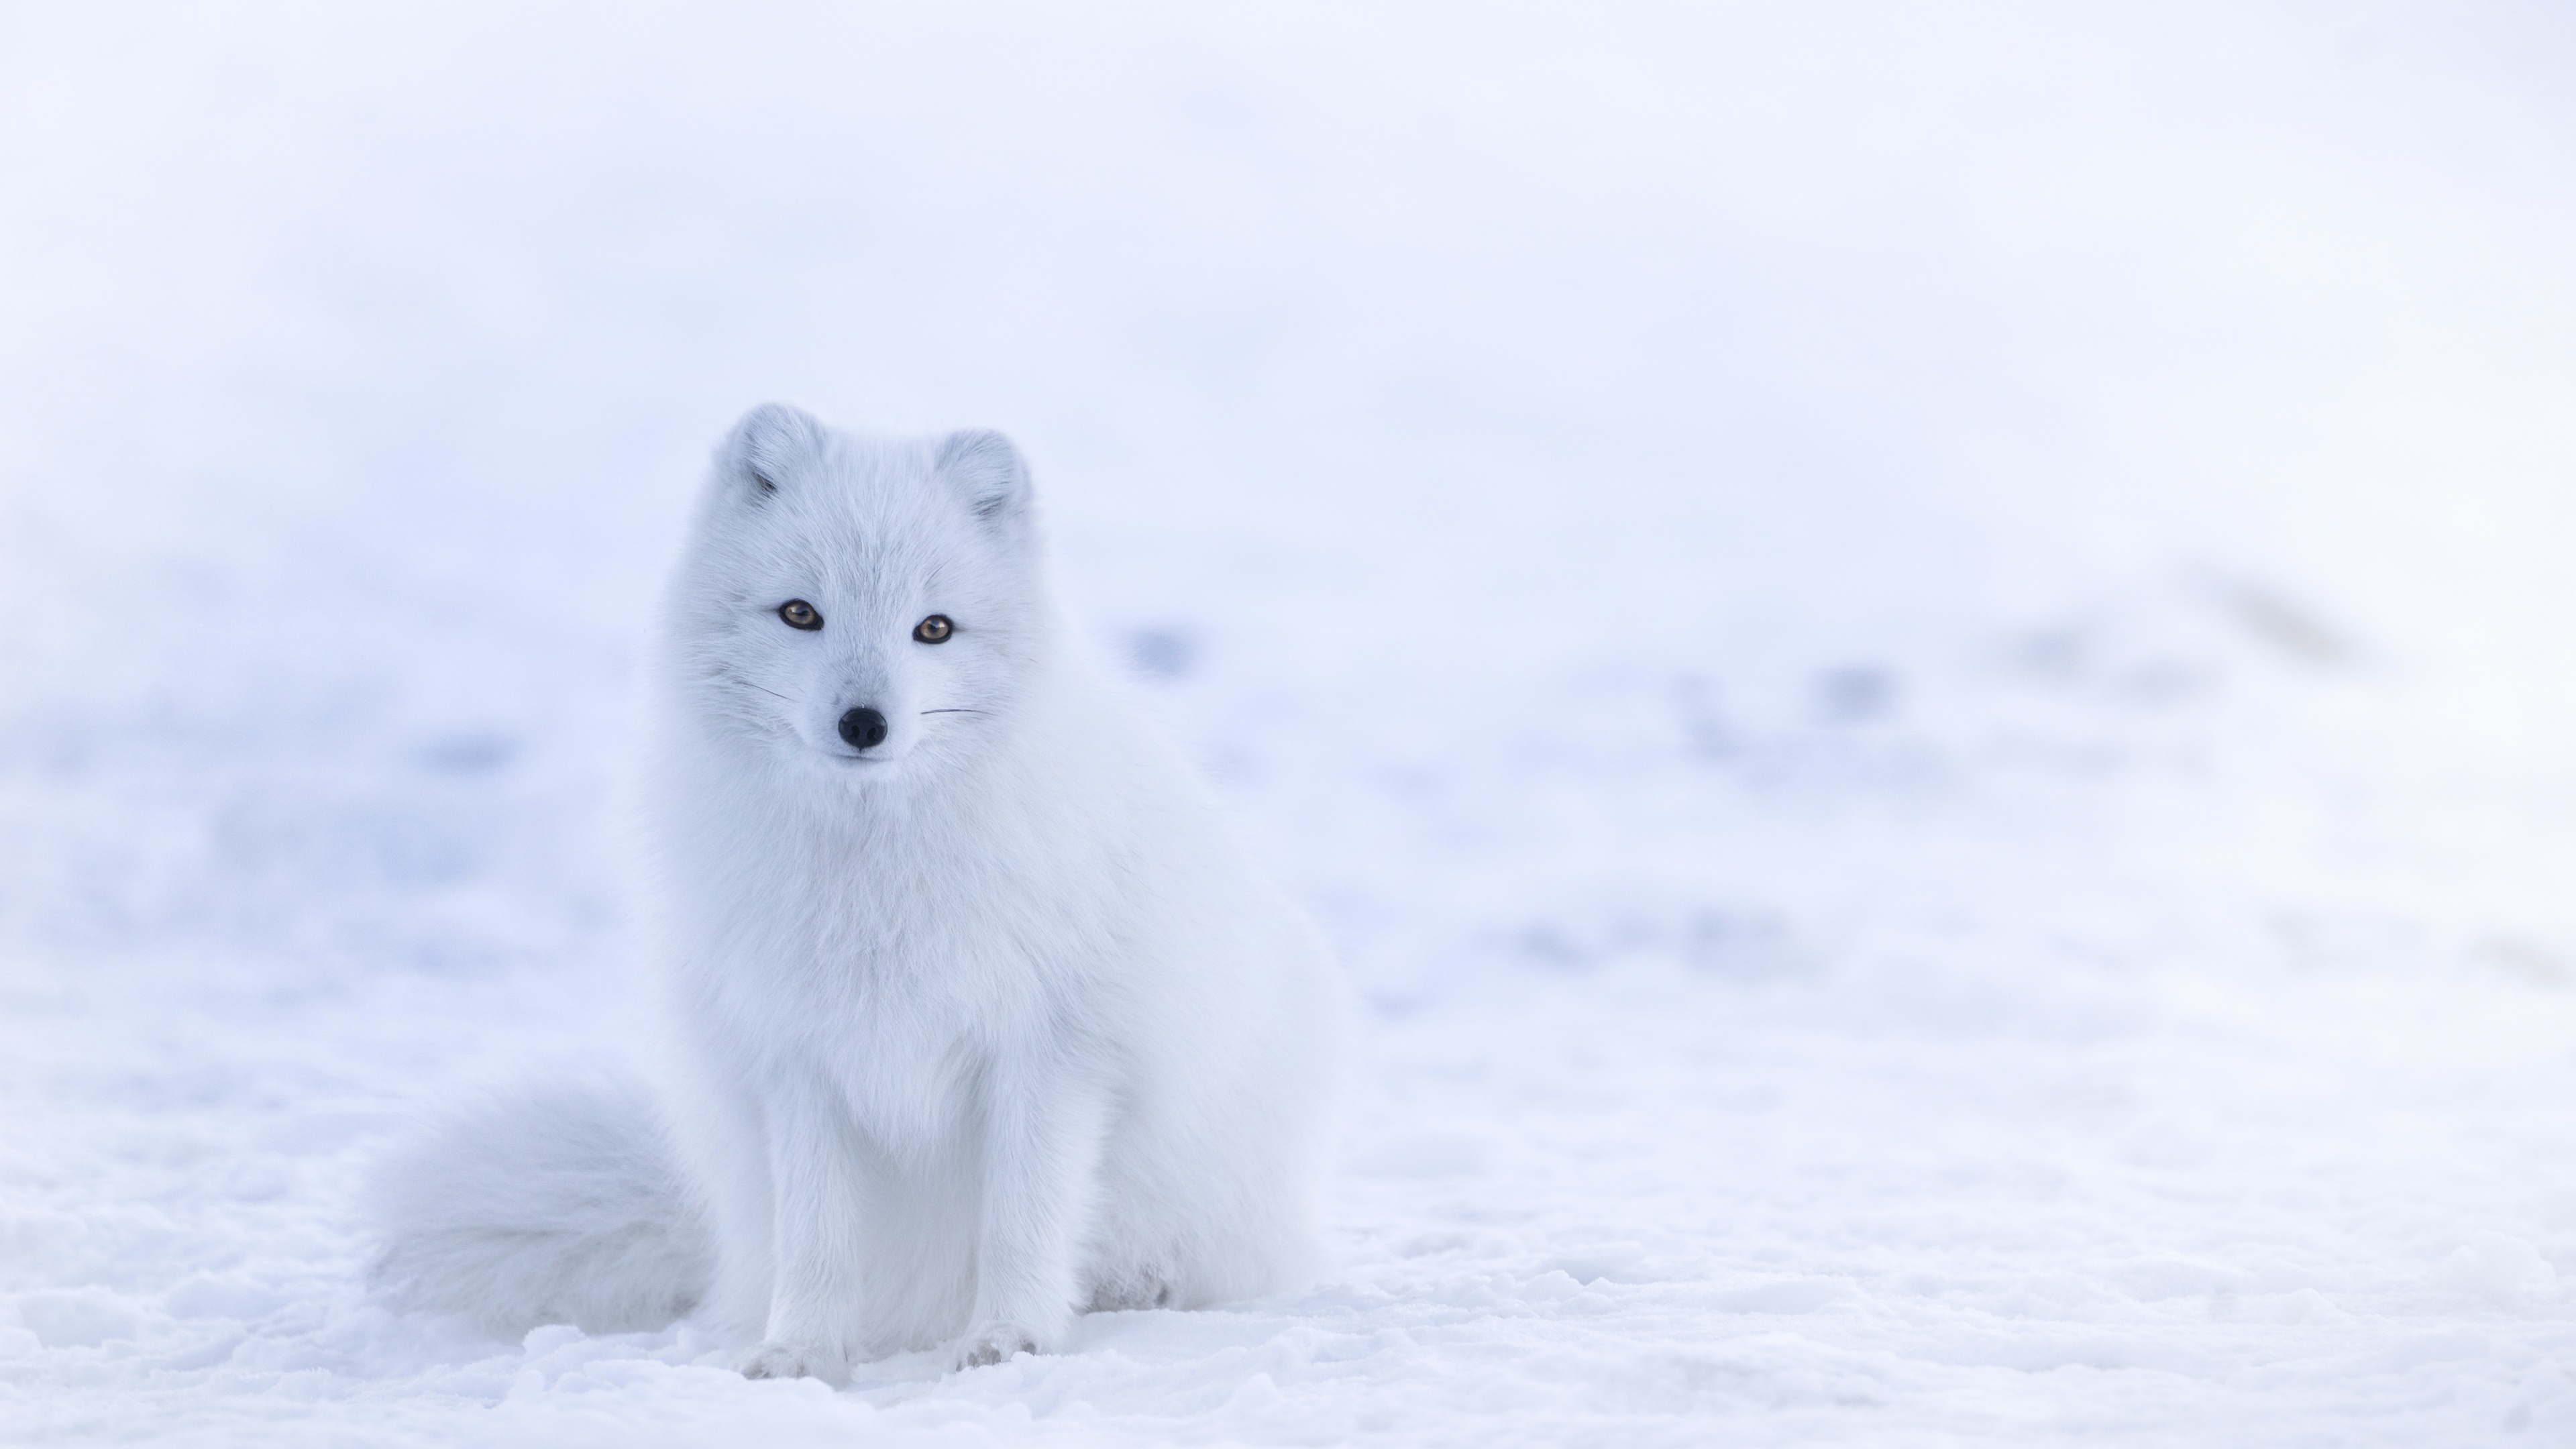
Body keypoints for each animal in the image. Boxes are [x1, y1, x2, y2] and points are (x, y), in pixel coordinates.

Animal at [369, 405, 1345, 1382]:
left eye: (935, 629)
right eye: (802, 613)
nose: (864, 724)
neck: (873, 873)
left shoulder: (1052, 1051)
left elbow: (1022, 1221)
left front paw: (1009, 1339)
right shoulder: (797, 1058)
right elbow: (817, 1239)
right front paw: (800, 1352)